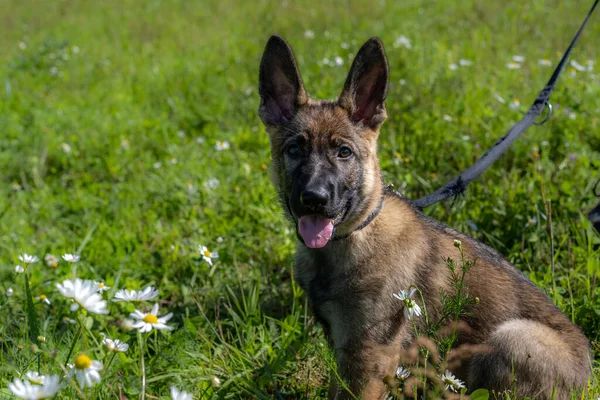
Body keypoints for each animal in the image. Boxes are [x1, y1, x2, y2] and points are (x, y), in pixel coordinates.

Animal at [256, 36, 592, 398]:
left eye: (344, 152)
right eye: (294, 150)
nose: (314, 199)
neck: (354, 236)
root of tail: (589, 378)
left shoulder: (370, 359)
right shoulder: (348, 352)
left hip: (513, 336)